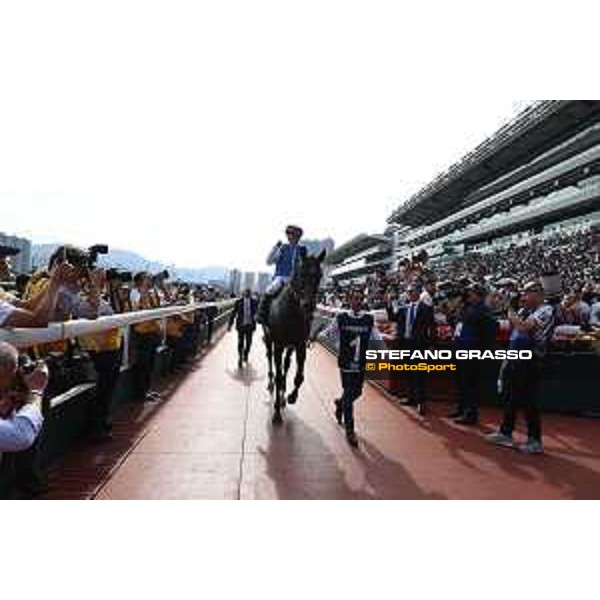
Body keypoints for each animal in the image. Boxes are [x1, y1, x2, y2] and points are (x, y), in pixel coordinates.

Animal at [264, 251, 326, 424]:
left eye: (319, 276)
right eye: (301, 273)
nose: (308, 306)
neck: (292, 313)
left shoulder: (300, 345)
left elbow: (299, 377)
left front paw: (291, 397)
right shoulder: (278, 345)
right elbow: (279, 375)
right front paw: (277, 413)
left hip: (289, 347)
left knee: (286, 364)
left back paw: (284, 392)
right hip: (269, 338)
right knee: (270, 358)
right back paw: (271, 382)